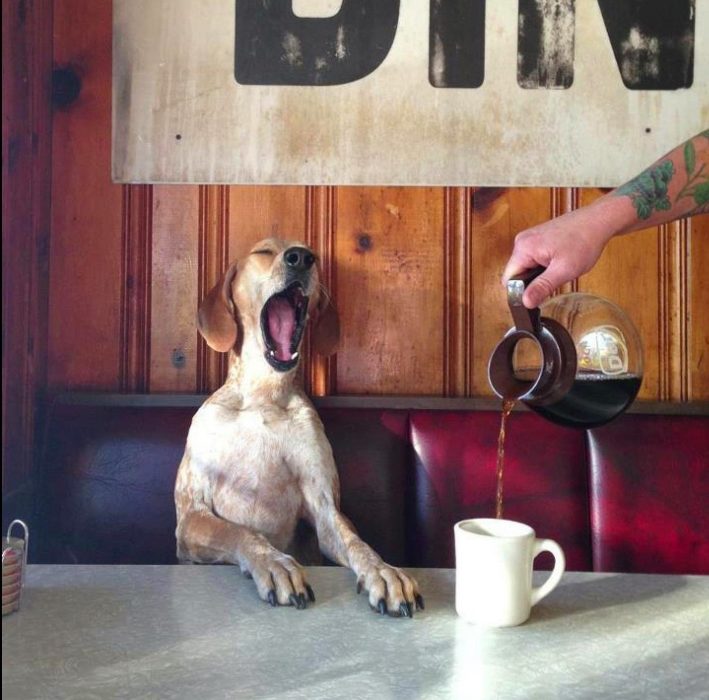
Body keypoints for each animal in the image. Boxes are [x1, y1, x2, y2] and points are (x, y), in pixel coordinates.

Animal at [175, 238, 424, 616]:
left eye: (309, 252)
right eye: (262, 252)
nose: (301, 258)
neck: (263, 397)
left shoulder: (324, 507)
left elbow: (357, 542)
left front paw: (383, 570)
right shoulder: (191, 515)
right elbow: (242, 533)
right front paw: (274, 563)